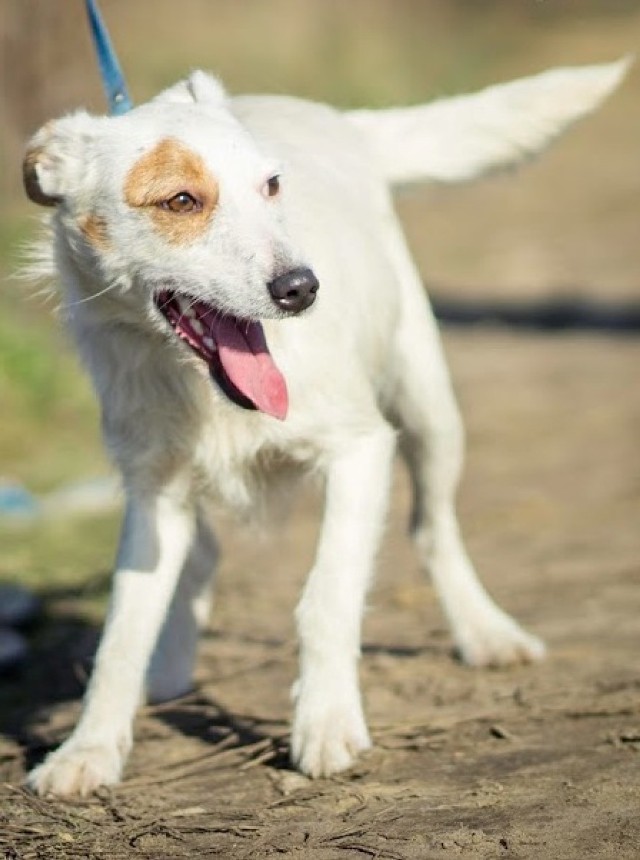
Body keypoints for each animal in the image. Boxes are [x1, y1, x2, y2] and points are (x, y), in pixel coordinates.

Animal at [22, 57, 628, 796]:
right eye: (181, 201)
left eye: (271, 185)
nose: (302, 289)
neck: (207, 393)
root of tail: (338, 120)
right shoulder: (152, 494)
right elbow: (122, 632)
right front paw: (89, 748)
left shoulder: (360, 451)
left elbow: (327, 597)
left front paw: (327, 723)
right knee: (204, 554)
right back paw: (170, 668)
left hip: (429, 411)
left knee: (433, 528)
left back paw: (485, 632)